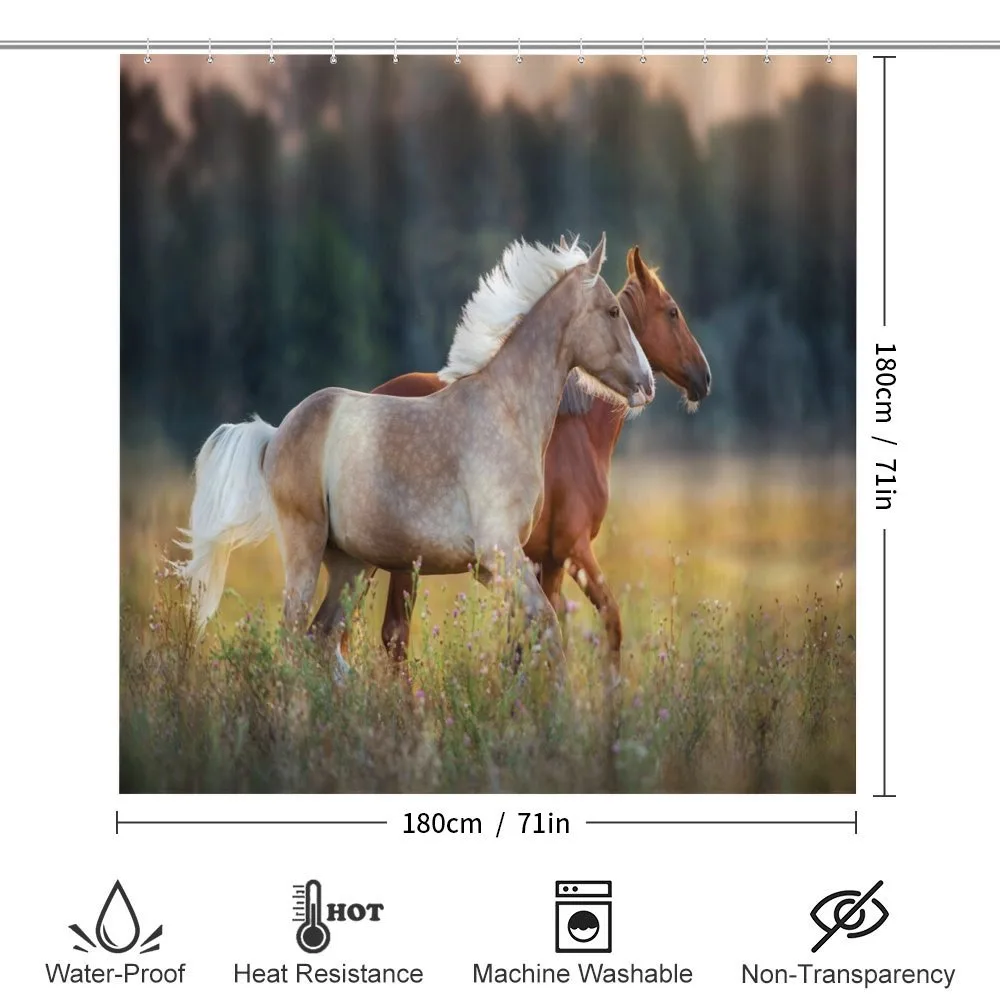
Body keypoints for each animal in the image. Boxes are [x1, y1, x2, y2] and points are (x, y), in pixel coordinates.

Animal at [175, 234, 655, 676]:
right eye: (613, 311)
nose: (647, 383)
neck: (506, 411)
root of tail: (275, 435)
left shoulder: (499, 566)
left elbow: (526, 642)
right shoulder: (501, 552)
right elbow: (549, 634)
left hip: (349, 565)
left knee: (320, 640)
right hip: (305, 550)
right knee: (293, 643)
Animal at [373, 243, 710, 670]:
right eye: (672, 312)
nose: (704, 377)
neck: (578, 427)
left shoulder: (543, 563)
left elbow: (528, 639)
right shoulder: (573, 551)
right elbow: (608, 622)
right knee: (391, 634)